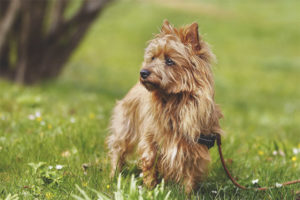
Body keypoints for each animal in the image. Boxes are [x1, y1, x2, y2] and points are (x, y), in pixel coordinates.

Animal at [107, 19, 223, 192]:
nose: (143, 72)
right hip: (125, 126)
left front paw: (187, 194)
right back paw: (113, 176)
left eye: (169, 61)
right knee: (118, 150)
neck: (174, 100)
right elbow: (149, 163)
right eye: (153, 58)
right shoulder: (151, 140)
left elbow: (190, 175)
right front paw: (150, 190)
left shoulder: (194, 148)